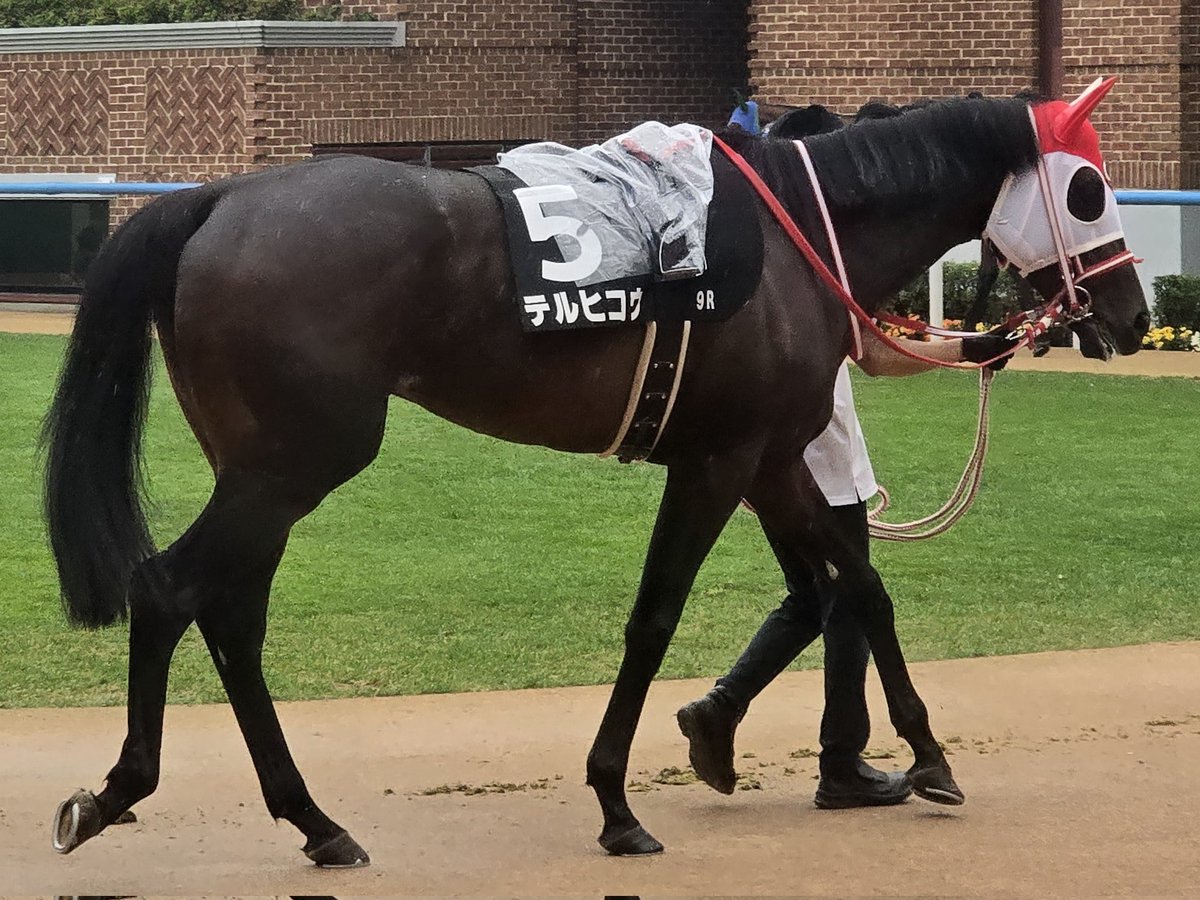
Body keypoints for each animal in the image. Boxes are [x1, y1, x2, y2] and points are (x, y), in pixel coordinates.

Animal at [43, 90, 1148, 865]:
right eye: (1089, 189)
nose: (1133, 313)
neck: (796, 229)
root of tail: (215, 198)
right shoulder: (717, 460)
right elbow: (655, 617)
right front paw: (617, 804)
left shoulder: (772, 457)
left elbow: (861, 590)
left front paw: (924, 755)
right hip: (292, 463)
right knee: (169, 589)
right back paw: (118, 793)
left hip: (261, 467)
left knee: (230, 617)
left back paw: (314, 821)